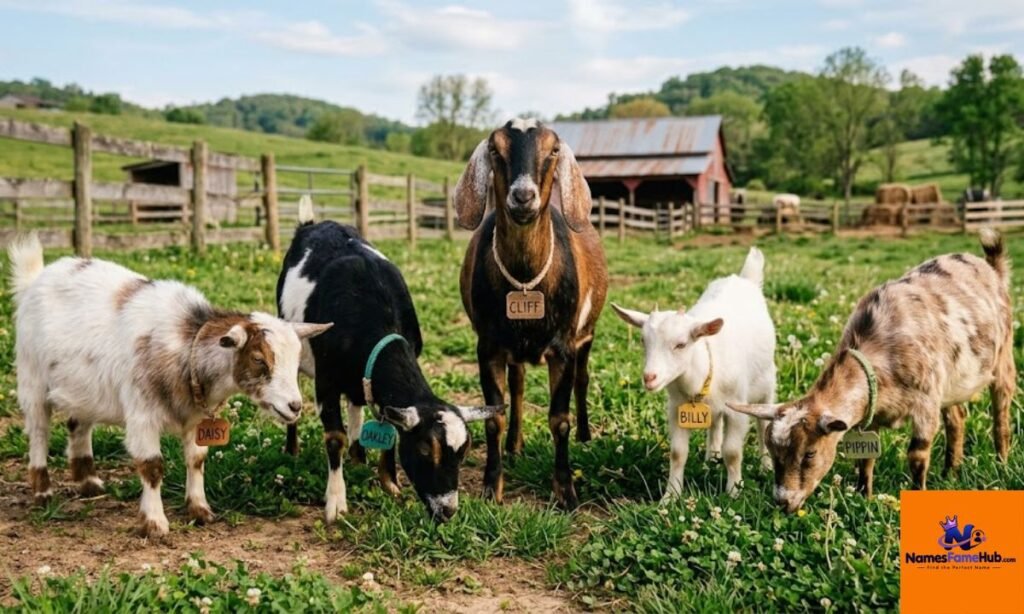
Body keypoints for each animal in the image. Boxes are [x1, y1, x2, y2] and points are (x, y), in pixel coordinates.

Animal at [9, 234, 330, 538]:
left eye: (297, 359)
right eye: (258, 358)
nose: (295, 406)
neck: (186, 344)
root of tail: (37, 278)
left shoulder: (197, 418)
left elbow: (197, 459)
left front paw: (200, 510)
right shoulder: (142, 416)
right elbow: (152, 466)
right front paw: (155, 523)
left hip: (85, 388)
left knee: (78, 424)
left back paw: (88, 482)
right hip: (32, 379)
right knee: (39, 432)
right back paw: (43, 491)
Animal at [277, 201, 501, 523]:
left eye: (463, 452)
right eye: (424, 449)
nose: (447, 510)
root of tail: (312, 224)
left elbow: (389, 430)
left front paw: (390, 483)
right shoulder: (326, 379)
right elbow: (334, 437)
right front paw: (336, 501)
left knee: (356, 405)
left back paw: (358, 456)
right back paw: (292, 450)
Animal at [456, 117, 608, 509]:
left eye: (553, 149)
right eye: (495, 149)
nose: (523, 197)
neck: (525, 281)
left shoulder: (563, 347)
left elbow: (559, 419)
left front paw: (566, 491)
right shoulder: (488, 347)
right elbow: (493, 416)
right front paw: (491, 487)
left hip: (587, 334)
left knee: (583, 380)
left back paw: (586, 436)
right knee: (519, 384)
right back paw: (514, 445)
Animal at [612, 248, 776, 498]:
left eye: (681, 344)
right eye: (642, 340)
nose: (649, 377)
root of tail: (743, 278)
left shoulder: (737, 409)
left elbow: (733, 452)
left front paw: (734, 492)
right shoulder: (676, 409)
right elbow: (678, 453)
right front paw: (670, 496)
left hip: (767, 384)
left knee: (763, 426)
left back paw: (765, 466)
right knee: (715, 424)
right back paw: (711, 459)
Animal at [729, 230, 1015, 512]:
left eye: (810, 453)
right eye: (772, 452)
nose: (783, 502)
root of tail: (990, 266)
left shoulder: (926, 403)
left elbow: (917, 456)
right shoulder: (872, 411)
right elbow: (866, 458)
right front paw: (862, 497)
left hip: (1003, 357)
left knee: (1001, 414)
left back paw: (1001, 464)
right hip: (954, 381)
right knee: (957, 417)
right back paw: (950, 473)